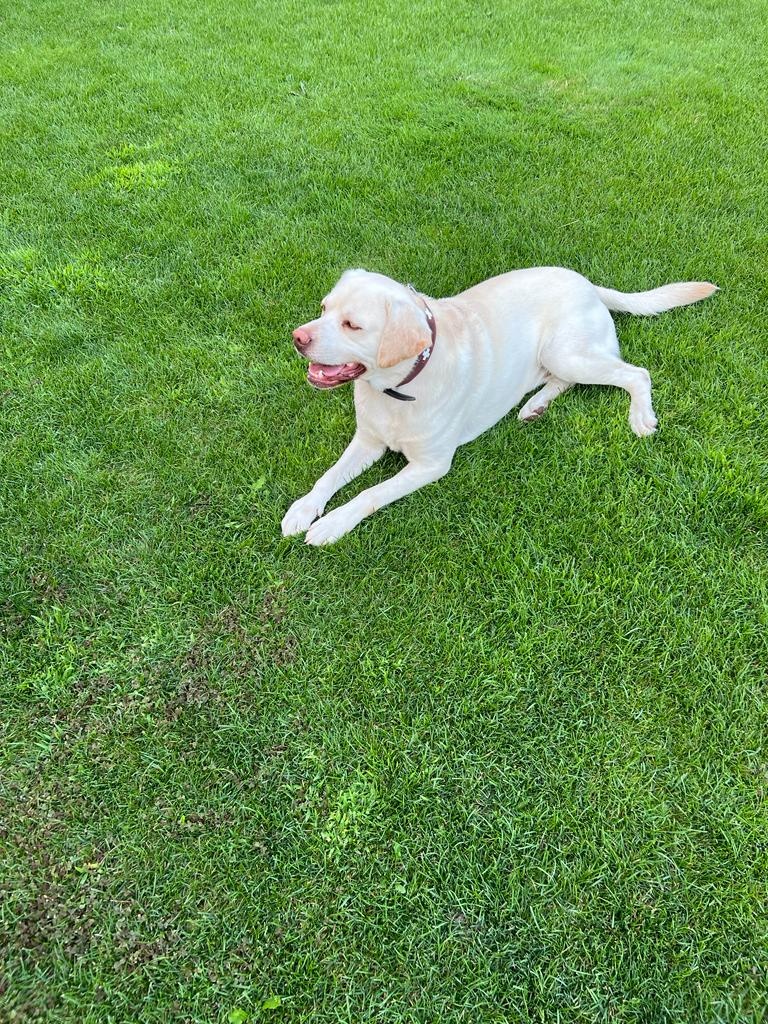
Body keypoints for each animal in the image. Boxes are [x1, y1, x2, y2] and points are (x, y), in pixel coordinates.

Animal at [280, 268, 716, 548]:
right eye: (324, 308)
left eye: (352, 325)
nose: (297, 337)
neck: (396, 389)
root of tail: (589, 284)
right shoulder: (368, 440)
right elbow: (328, 477)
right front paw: (304, 509)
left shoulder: (431, 465)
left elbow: (369, 494)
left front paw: (333, 523)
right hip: (560, 358)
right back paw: (535, 406)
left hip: (566, 352)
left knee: (636, 374)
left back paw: (640, 416)